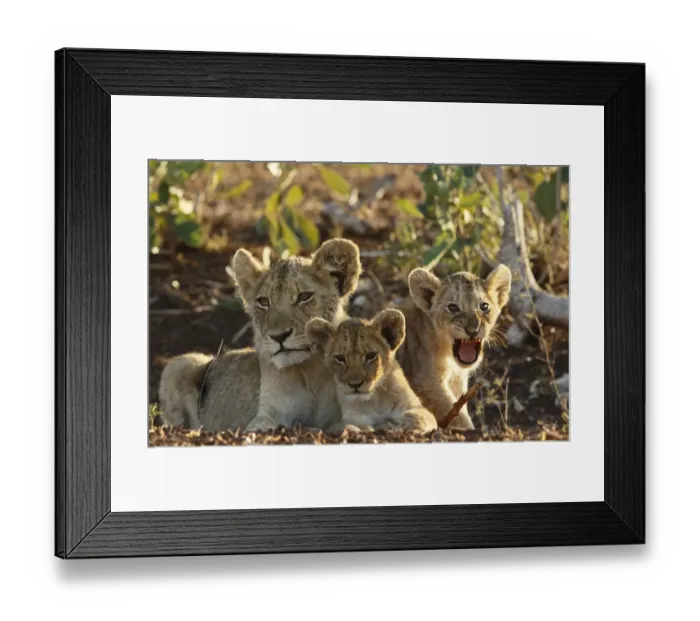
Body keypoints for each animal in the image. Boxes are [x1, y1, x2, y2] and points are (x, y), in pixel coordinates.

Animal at [157, 238, 362, 433]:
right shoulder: (267, 411)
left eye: (304, 297)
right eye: (264, 302)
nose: (279, 336)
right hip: (179, 363)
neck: (311, 373)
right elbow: (262, 426)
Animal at [305, 309, 438, 435]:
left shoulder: (414, 406)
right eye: (340, 358)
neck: (376, 399)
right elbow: (356, 425)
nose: (355, 384)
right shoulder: (352, 416)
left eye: (371, 356)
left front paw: (407, 426)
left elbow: (422, 417)